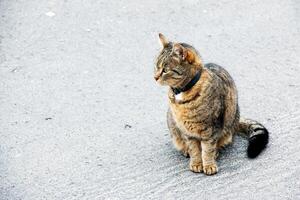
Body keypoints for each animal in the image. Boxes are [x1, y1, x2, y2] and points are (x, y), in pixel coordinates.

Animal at [155, 33, 270, 176]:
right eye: (156, 66)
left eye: (165, 70)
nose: (155, 77)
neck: (183, 93)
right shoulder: (187, 132)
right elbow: (194, 149)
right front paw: (196, 163)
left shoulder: (211, 129)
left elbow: (207, 149)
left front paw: (209, 164)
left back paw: (215, 153)